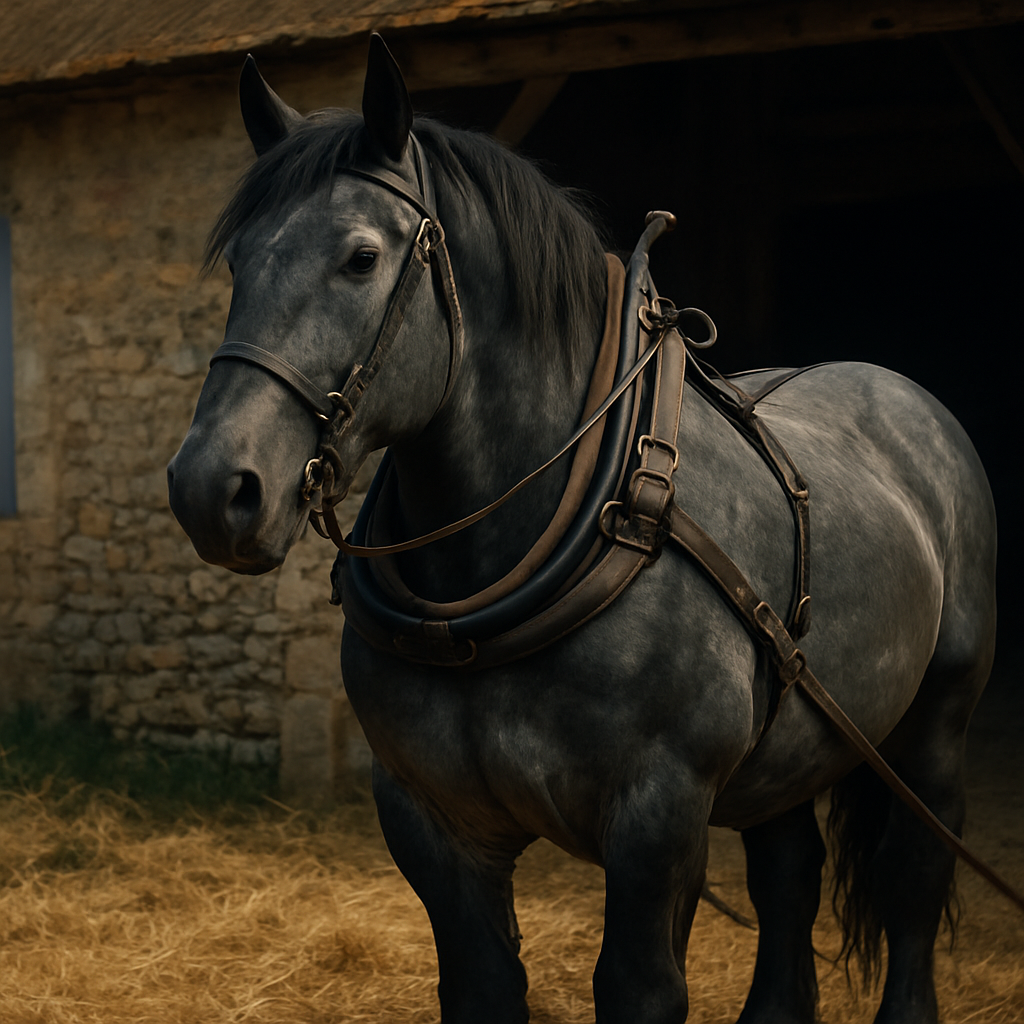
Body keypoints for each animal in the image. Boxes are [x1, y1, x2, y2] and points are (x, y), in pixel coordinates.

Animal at [167, 36, 997, 1024]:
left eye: (360, 258)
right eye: (238, 262)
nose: (213, 489)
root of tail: (905, 394)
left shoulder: (656, 817)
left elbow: (639, 987)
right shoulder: (431, 820)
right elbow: (482, 985)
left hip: (937, 718)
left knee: (914, 875)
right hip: (788, 745)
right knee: (788, 874)